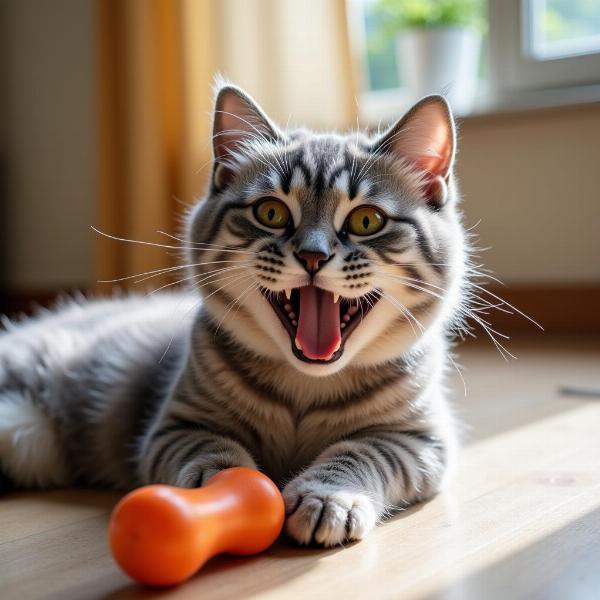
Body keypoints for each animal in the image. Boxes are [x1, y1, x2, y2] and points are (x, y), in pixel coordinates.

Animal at [0, 82, 468, 548]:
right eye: (271, 213)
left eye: (366, 220)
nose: (313, 256)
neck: (306, 387)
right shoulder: (177, 427)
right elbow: (212, 453)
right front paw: (223, 492)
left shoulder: (419, 441)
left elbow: (360, 453)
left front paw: (327, 498)